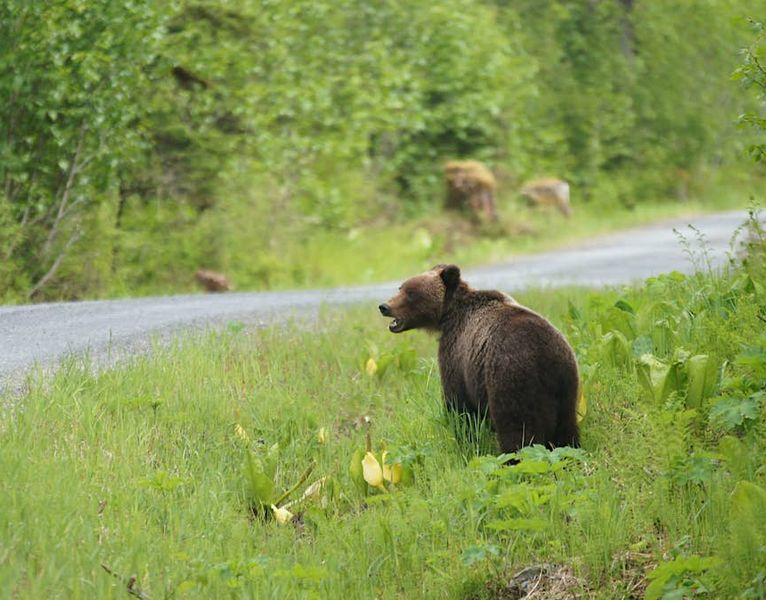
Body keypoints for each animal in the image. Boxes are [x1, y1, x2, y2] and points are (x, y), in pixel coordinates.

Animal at [380, 264, 580, 452]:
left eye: (411, 293)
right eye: (401, 287)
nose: (384, 307)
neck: (448, 316)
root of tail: (543, 355)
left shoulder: (456, 353)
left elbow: (459, 406)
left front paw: (465, 439)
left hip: (510, 378)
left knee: (517, 429)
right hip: (566, 384)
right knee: (566, 429)